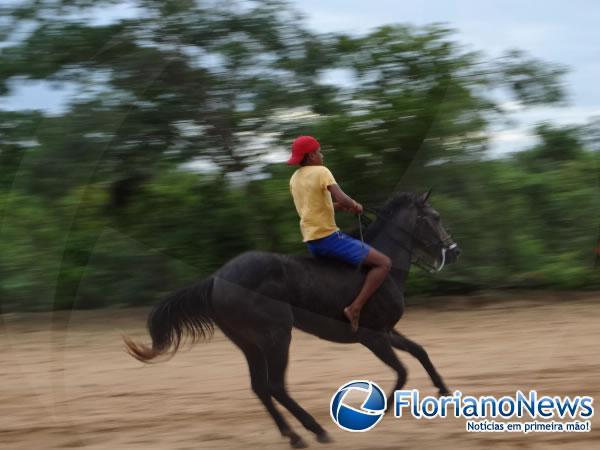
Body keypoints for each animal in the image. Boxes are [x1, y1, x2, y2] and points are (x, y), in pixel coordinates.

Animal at [122, 190, 460, 446]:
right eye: (435, 217)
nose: (454, 251)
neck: (384, 270)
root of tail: (217, 279)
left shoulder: (386, 332)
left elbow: (419, 352)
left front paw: (444, 392)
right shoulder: (372, 336)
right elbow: (402, 370)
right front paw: (384, 407)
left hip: (250, 344)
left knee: (260, 387)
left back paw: (294, 436)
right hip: (277, 337)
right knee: (276, 386)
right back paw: (316, 430)